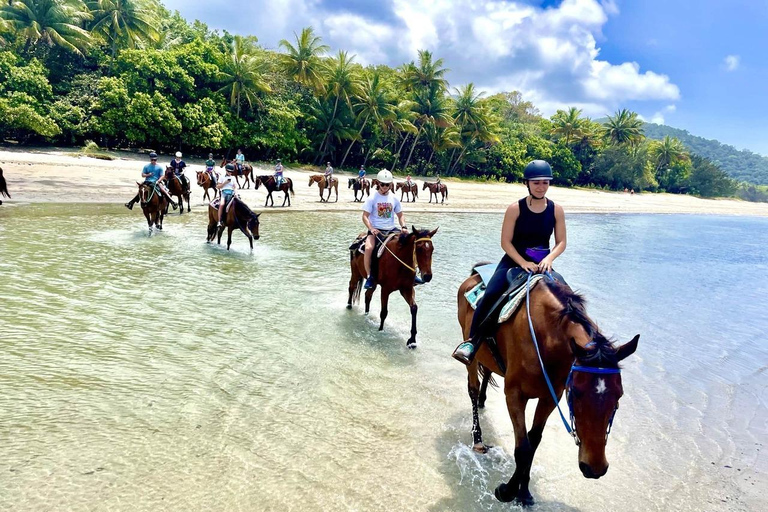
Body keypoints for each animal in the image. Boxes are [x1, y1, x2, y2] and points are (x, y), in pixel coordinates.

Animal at [456, 270, 640, 506]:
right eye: (576, 393)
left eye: (619, 396)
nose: (595, 468)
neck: (545, 338)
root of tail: (473, 275)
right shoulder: (514, 394)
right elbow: (523, 447)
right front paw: (507, 491)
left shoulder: (550, 398)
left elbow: (534, 443)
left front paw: (524, 492)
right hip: (468, 347)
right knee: (472, 386)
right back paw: (478, 439)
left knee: (486, 373)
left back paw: (482, 401)